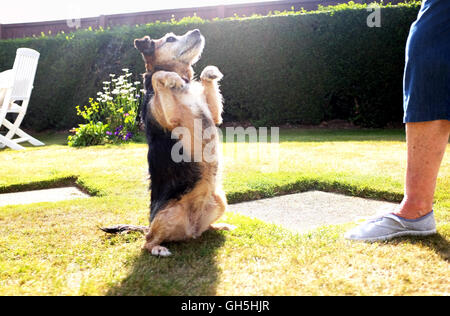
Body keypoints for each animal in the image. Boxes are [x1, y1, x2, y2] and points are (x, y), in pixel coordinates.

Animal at [101, 29, 236, 256]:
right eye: (170, 38)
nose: (197, 30)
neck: (185, 81)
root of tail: (191, 229)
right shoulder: (171, 118)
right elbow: (157, 76)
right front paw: (170, 78)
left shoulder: (214, 114)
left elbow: (207, 83)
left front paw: (210, 72)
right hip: (169, 214)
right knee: (147, 241)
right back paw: (158, 249)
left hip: (221, 200)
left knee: (204, 229)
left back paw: (220, 226)